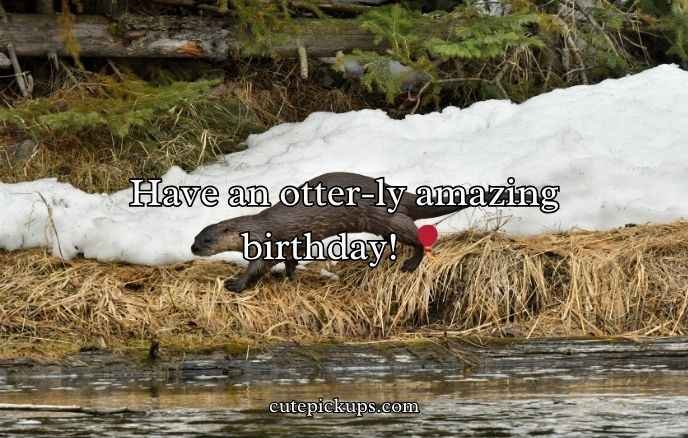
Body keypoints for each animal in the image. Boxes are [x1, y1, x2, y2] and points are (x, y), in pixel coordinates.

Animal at [191, 172, 511, 293]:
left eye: (207, 239)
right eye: (195, 237)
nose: (193, 248)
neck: (258, 227)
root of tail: (397, 193)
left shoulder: (269, 243)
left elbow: (259, 266)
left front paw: (236, 284)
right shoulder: (293, 244)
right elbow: (292, 260)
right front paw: (290, 277)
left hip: (388, 218)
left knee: (418, 238)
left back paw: (410, 263)